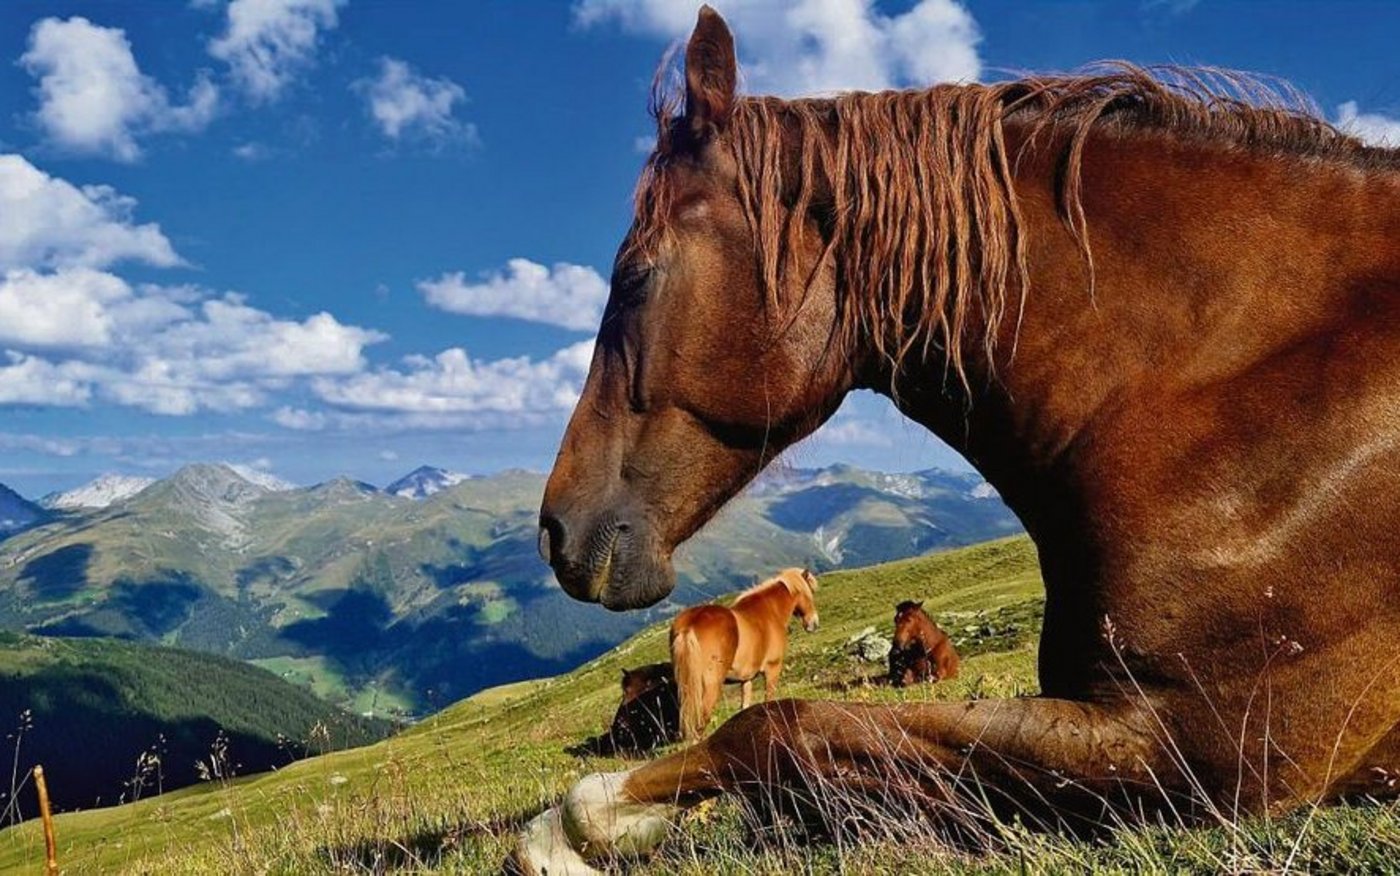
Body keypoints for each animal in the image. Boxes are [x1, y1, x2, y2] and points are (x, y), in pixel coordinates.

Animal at [670, 567, 819, 740]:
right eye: (809, 593)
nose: (814, 623)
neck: (770, 612)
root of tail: (690, 624)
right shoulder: (773, 669)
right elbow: (769, 700)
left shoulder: (746, 679)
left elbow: (745, 707)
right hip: (710, 688)